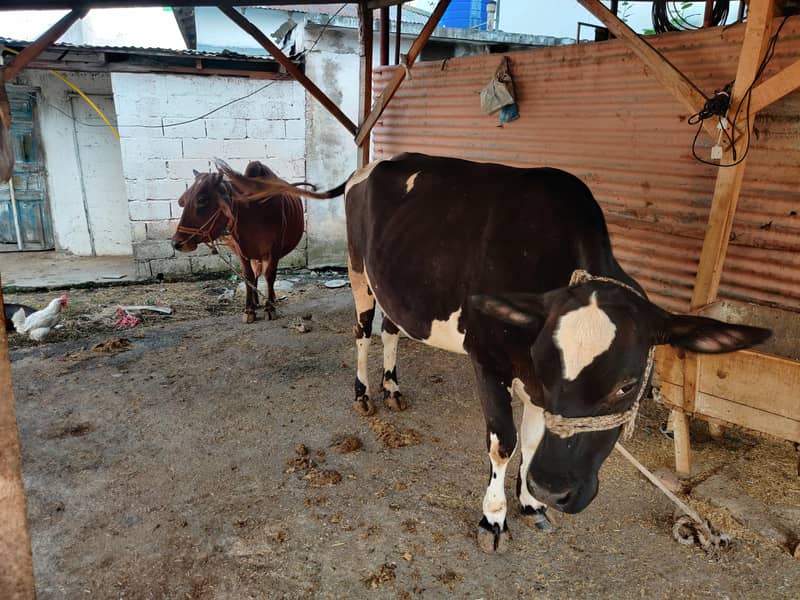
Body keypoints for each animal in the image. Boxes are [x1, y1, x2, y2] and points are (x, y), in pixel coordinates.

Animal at [171, 161, 304, 322]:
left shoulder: (273, 251)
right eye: (184, 200)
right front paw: (249, 310)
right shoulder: (242, 252)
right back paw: (255, 301)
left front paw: (270, 307)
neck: (254, 213)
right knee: (255, 274)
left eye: (202, 199)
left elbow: (269, 276)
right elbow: (248, 277)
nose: (176, 243)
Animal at [221, 153, 770, 553]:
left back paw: (393, 387)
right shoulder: (489, 358)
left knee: (393, 329)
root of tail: (371, 163)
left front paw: (530, 503)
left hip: (399, 284)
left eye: (628, 384)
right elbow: (504, 443)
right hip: (359, 272)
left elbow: (531, 439)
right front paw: (493, 518)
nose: (554, 489)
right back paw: (363, 394)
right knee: (361, 332)